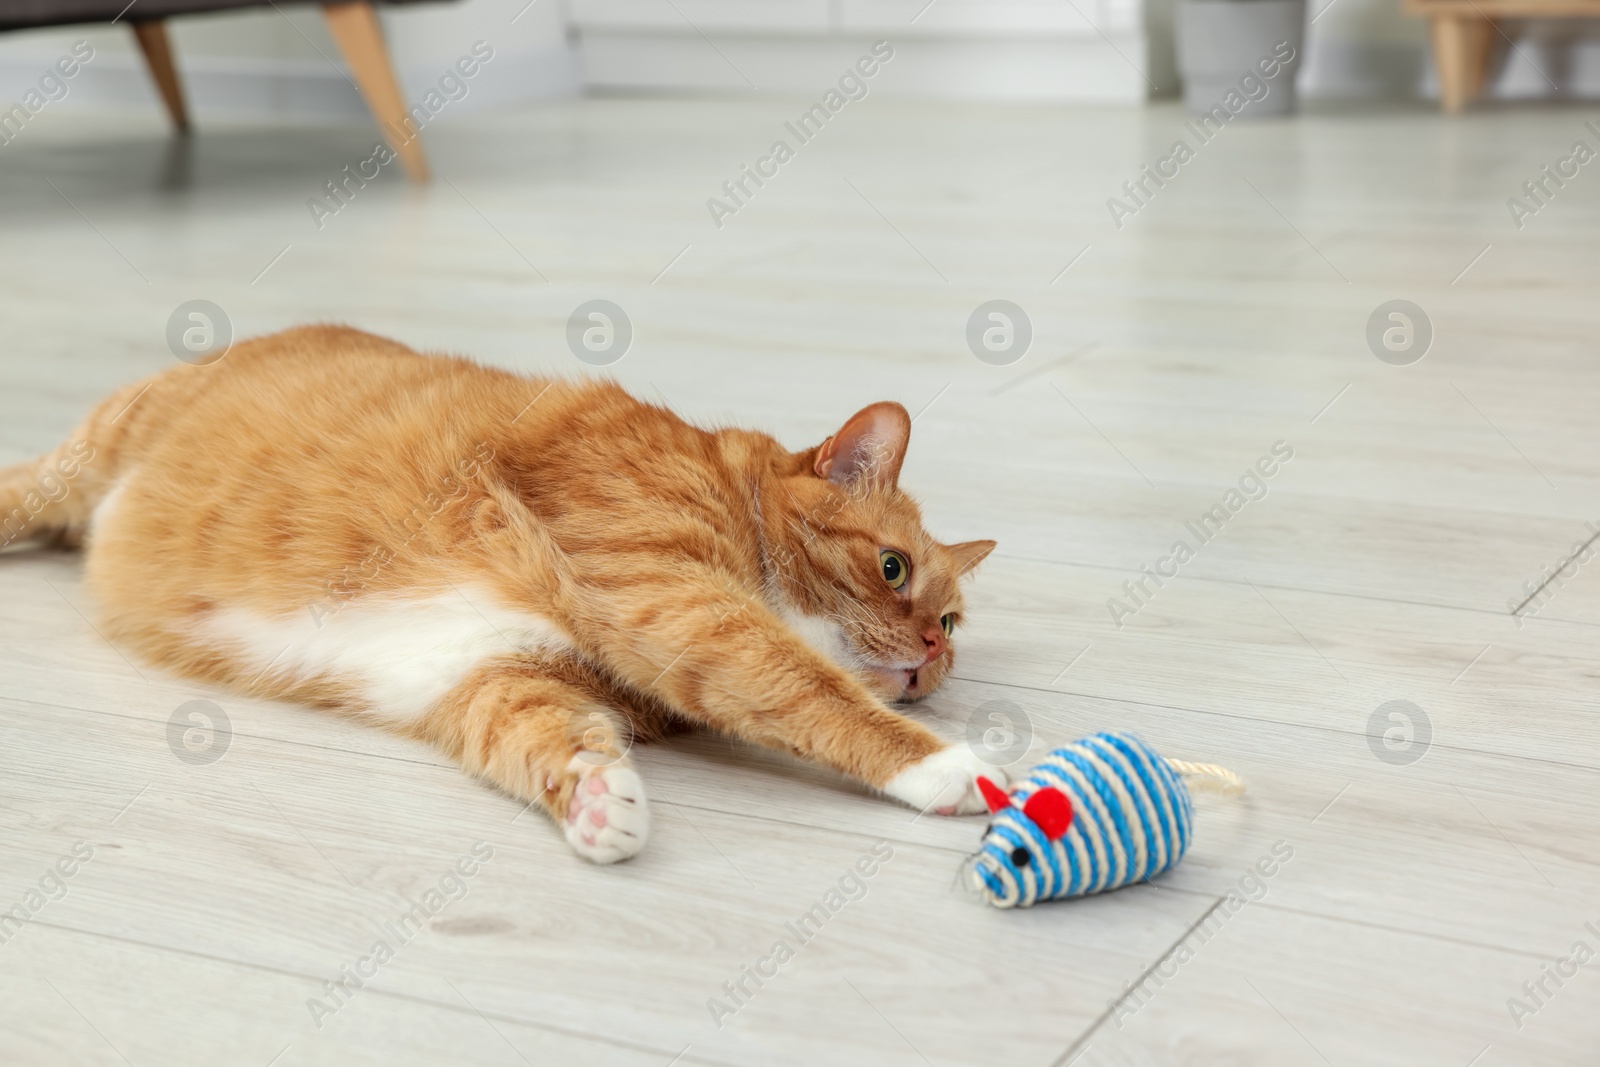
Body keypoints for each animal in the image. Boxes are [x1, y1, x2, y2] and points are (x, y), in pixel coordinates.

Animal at [0, 329, 998, 863]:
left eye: (952, 623)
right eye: (894, 570)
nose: (935, 654)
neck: (730, 495)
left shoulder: (486, 672)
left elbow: (540, 734)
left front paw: (596, 796)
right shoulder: (673, 594)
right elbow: (810, 687)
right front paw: (949, 764)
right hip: (95, 446)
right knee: (30, 485)